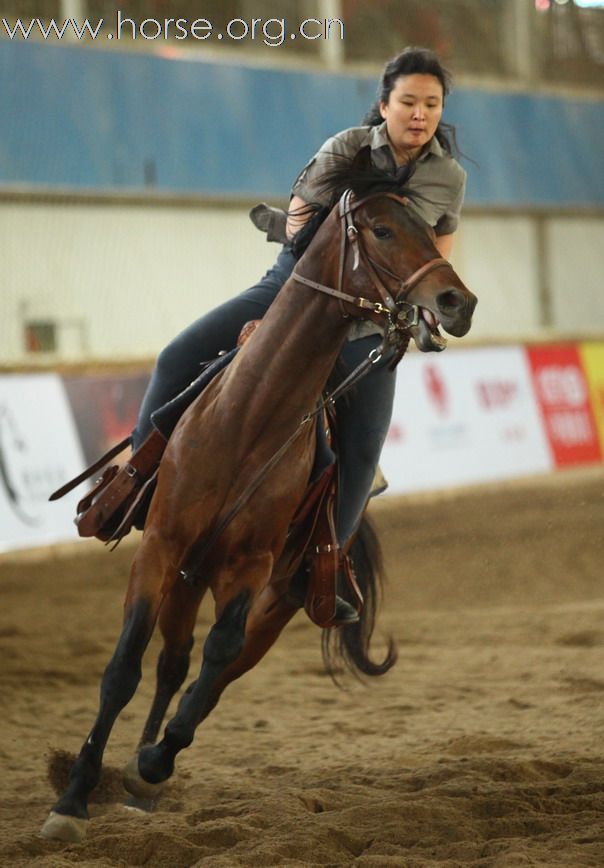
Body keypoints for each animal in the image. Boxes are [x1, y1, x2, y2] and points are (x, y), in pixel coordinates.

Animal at [41, 168, 476, 840]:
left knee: (213, 669)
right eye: (381, 229)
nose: (459, 303)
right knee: (171, 661)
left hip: (277, 599)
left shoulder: (250, 568)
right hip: (188, 576)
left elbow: (217, 659)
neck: (249, 418)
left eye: (431, 228)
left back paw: (149, 769)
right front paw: (72, 800)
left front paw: (154, 761)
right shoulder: (162, 549)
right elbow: (123, 669)